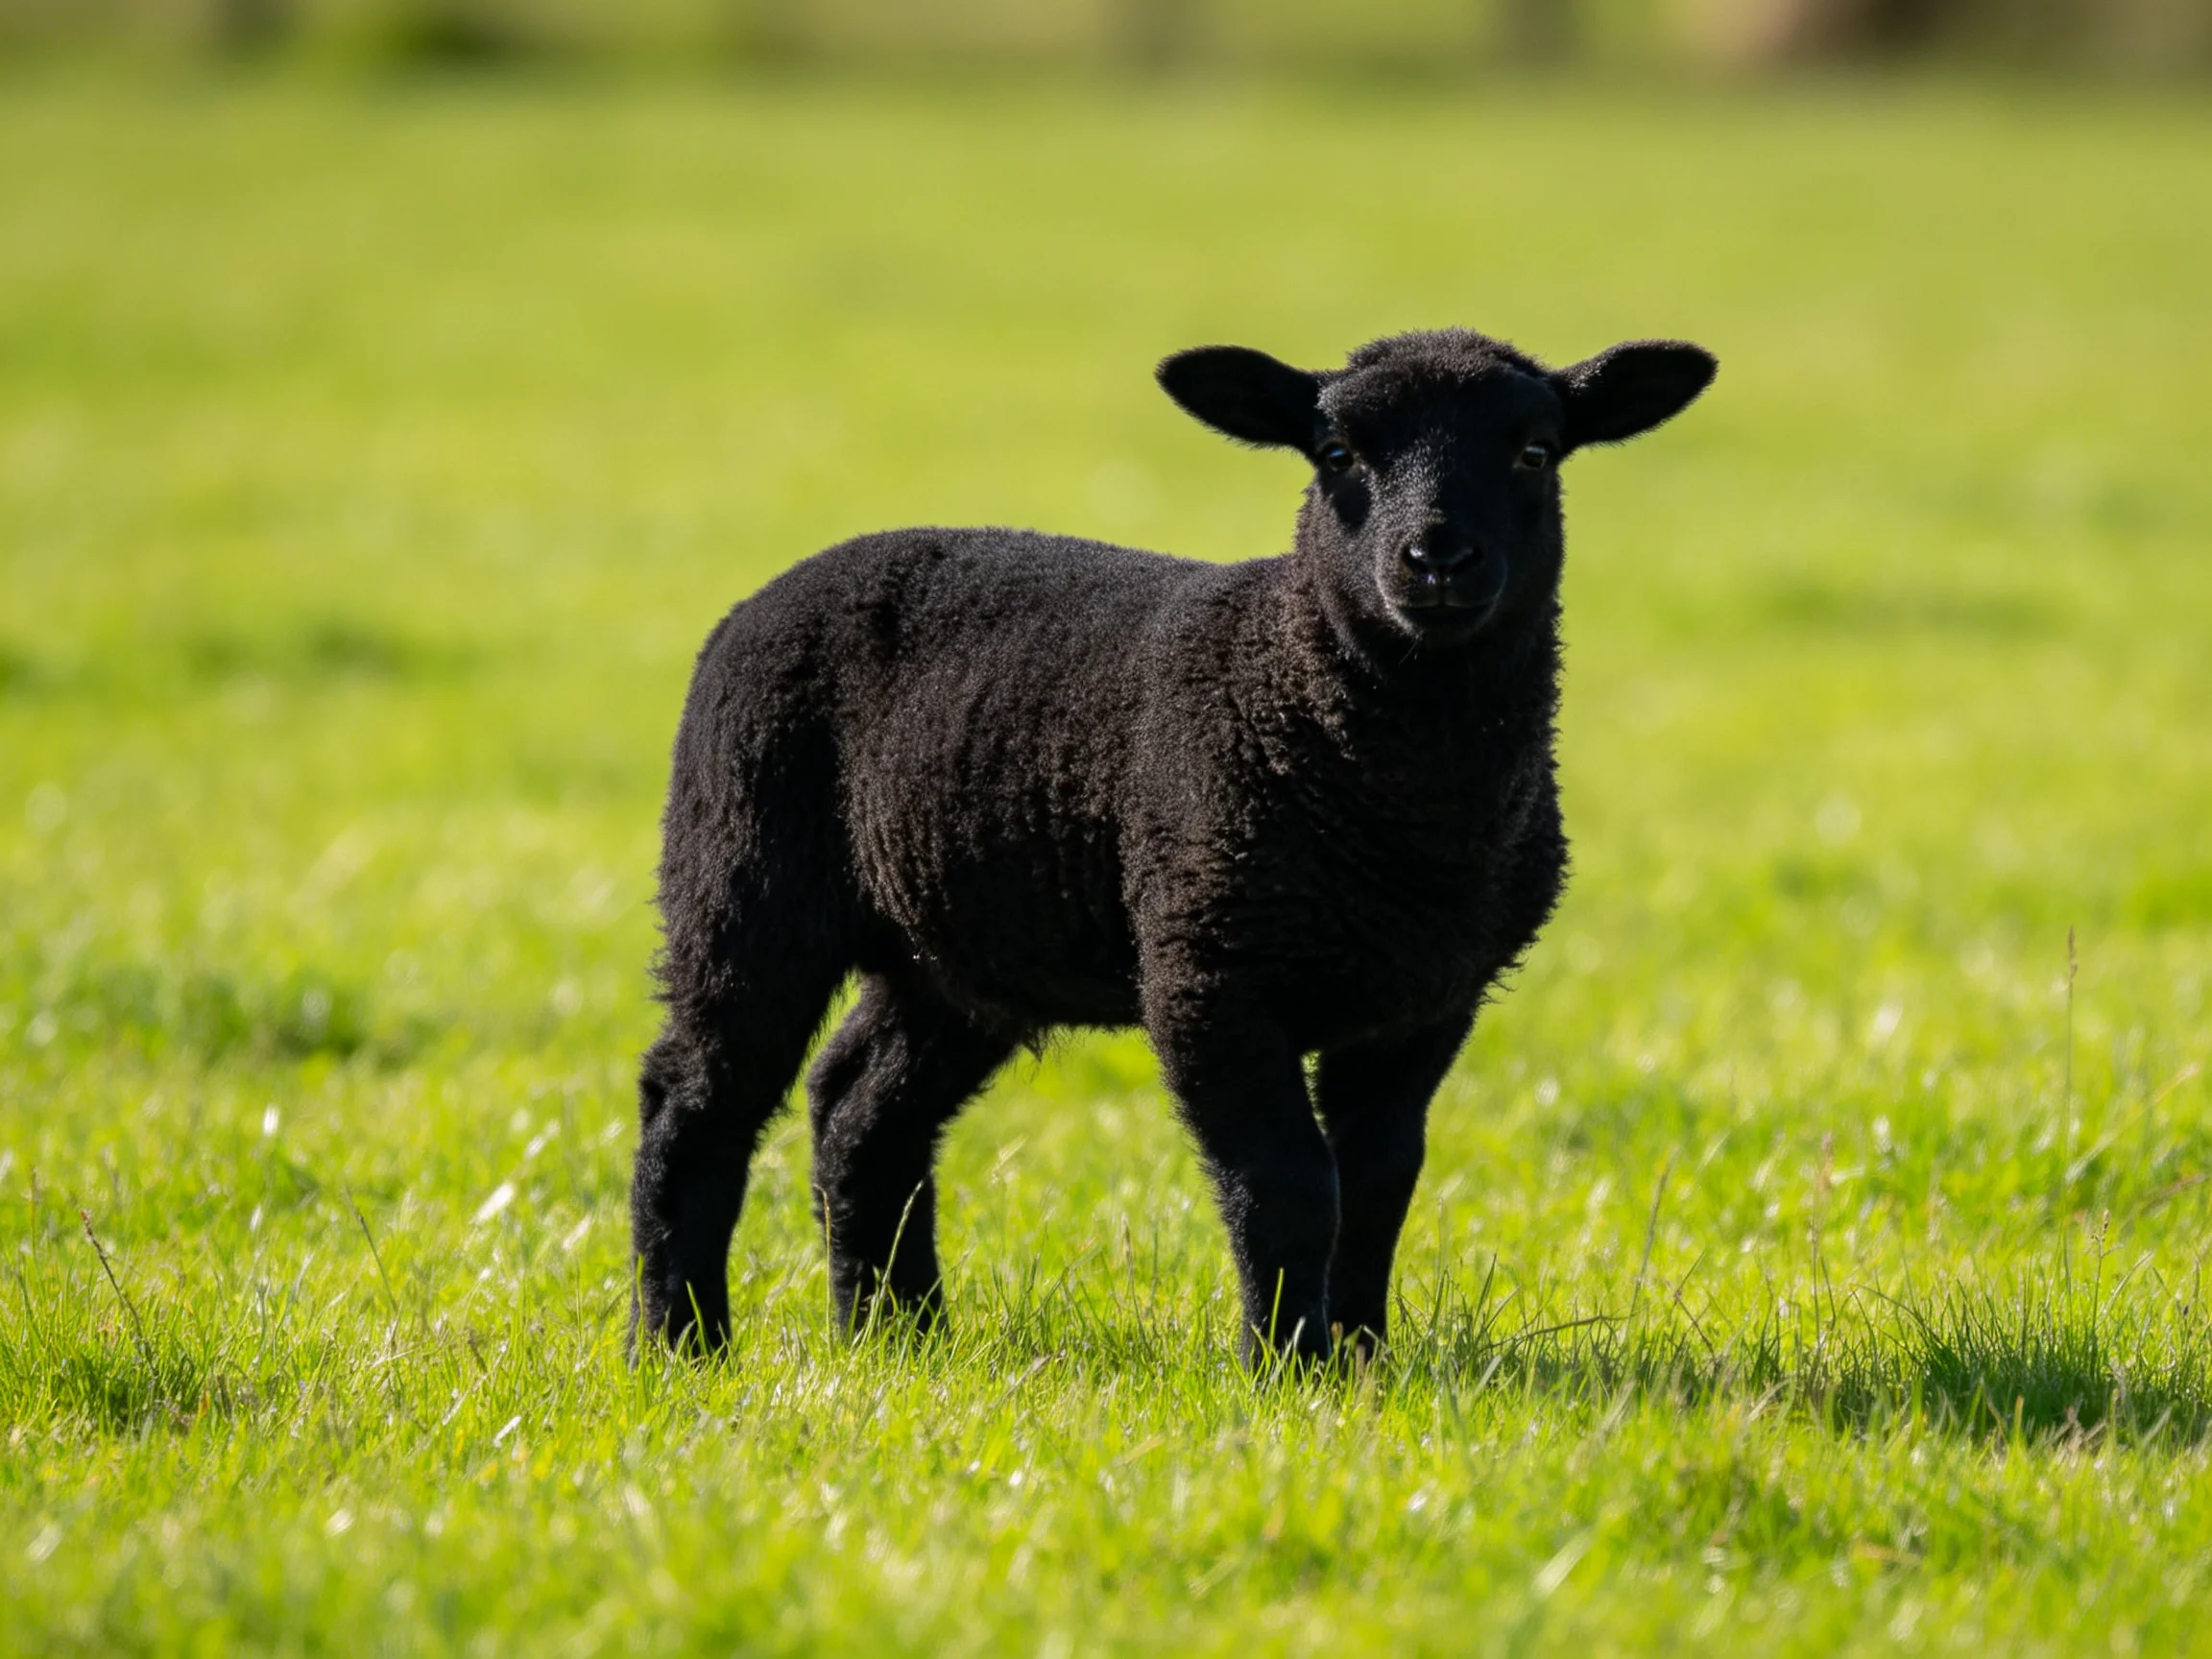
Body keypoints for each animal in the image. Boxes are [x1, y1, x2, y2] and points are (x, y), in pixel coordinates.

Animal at [631, 326, 1716, 1366]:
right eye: (1335, 453)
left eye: (1536, 452)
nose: (1438, 560)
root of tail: (775, 591)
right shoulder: (1207, 975)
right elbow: (1288, 1182)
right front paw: (1287, 1367)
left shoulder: (1426, 1002)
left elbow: (1378, 1182)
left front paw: (1361, 1357)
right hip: (743, 885)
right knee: (693, 1107)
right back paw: (682, 1344)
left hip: (956, 952)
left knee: (863, 1112)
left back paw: (894, 1337)